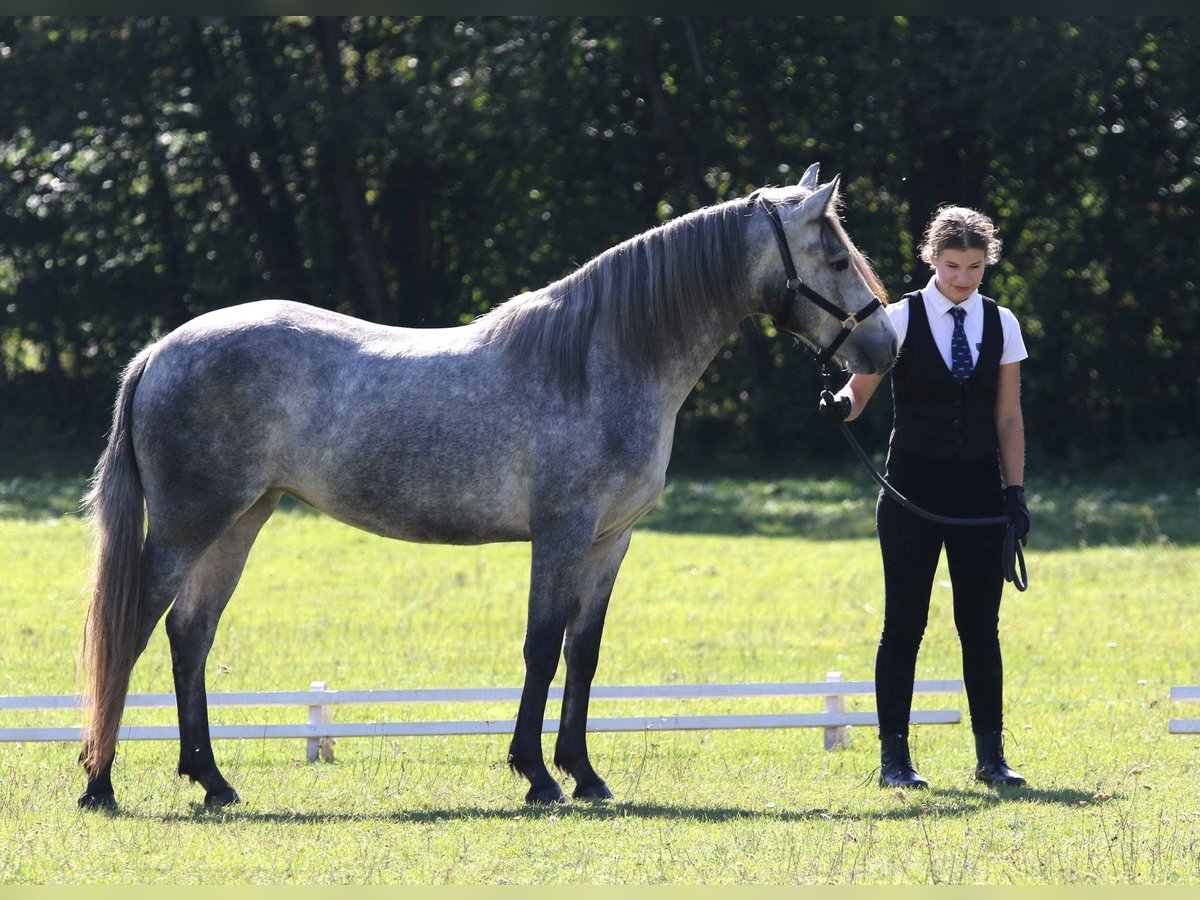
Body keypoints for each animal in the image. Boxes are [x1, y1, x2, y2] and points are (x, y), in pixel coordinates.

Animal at [77, 163, 897, 810]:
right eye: (832, 253)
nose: (884, 349)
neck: (601, 358)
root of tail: (160, 350)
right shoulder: (562, 531)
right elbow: (541, 643)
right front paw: (537, 775)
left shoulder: (611, 540)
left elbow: (582, 651)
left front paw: (585, 775)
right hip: (188, 526)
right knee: (132, 631)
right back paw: (100, 784)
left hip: (241, 520)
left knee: (190, 635)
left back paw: (212, 781)